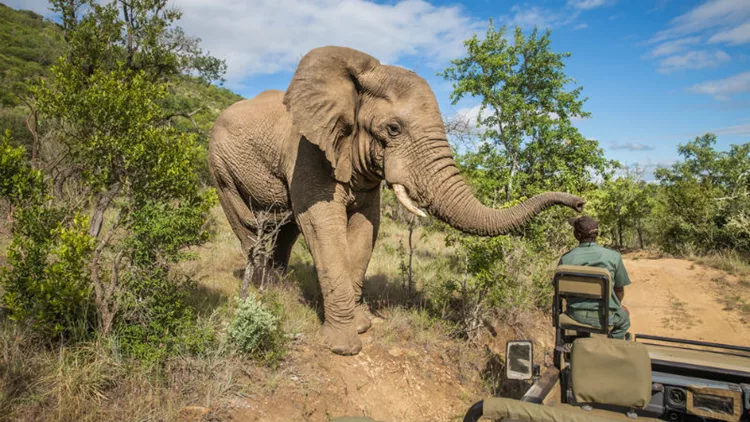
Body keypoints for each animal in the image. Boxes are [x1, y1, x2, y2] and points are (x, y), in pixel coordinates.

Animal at [210, 46, 588, 356]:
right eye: (393, 129)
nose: (580, 204)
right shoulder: (306, 151)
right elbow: (321, 224)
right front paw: (344, 347)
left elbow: (366, 226)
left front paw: (362, 325)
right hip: (220, 168)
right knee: (249, 227)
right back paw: (261, 294)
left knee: (285, 230)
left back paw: (279, 290)